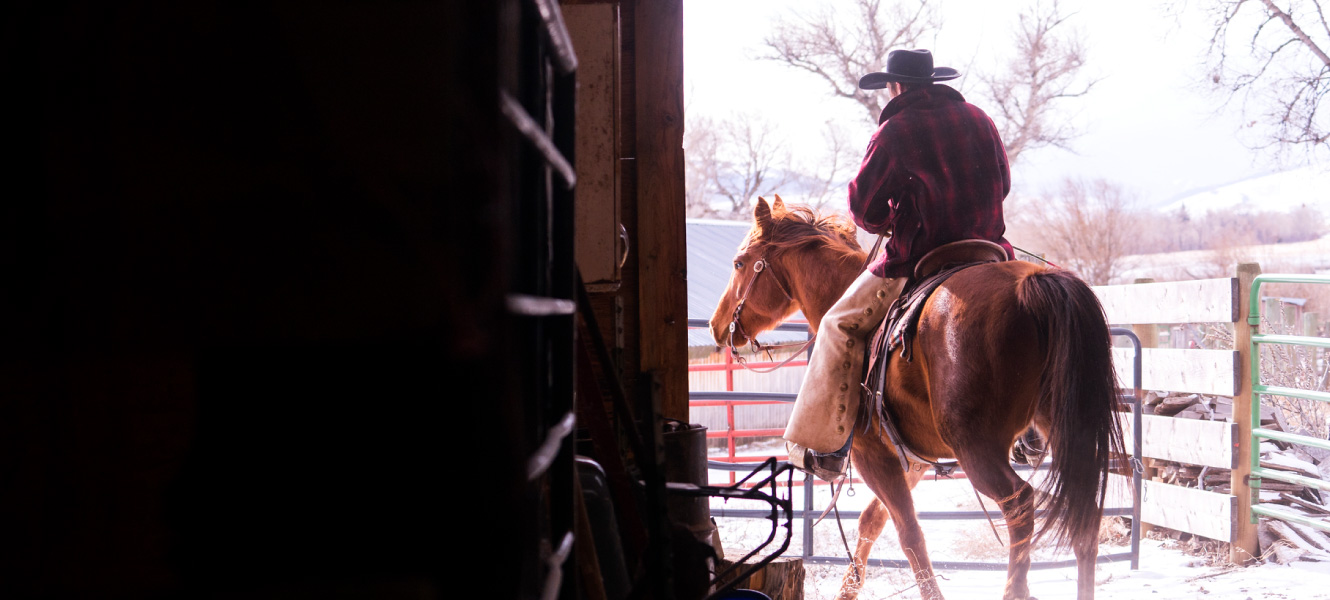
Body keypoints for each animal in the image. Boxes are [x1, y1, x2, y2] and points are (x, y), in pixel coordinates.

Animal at [707, 198, 1122, 600]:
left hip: (976, 446)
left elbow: (909, 534)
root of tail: (1033, 283)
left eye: (739, 263)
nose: (716, 323)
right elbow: (873, 520)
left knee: (1019, 504)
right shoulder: (913, 461)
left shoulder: (872, 454)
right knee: (1085, 516)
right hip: (1064, 428)